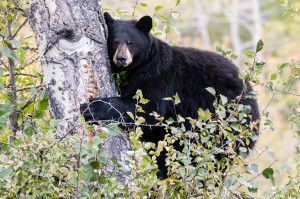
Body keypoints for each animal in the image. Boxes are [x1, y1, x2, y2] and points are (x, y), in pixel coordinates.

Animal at [80, 12, 260, 179]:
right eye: (114, 42)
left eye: (131, 43)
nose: (121, 58)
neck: (143, 65)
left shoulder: (160, 77)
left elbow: (147, 109)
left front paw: (91, 107)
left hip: (226, 124)